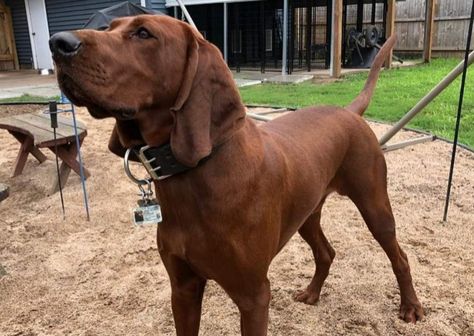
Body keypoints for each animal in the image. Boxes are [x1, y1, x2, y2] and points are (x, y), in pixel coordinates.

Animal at [50, 14, 424, 334]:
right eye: (108, 27)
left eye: (144, 34)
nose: (58, 42)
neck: (194, 177)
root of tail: (349, 111)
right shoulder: (182, 287)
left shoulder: (253, 295)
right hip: (306, 213)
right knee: (326, 252)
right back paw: (313, 292)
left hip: (373, 204)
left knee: (400, 256)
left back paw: (411, 307)